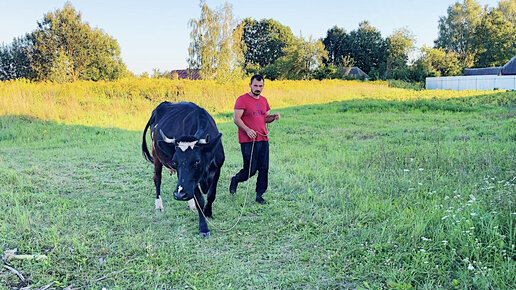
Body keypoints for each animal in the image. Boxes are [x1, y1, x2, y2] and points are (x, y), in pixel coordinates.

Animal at [141, 102, 224, 238]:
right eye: (175, 162)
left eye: (196, 161)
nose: (179, 194)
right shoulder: (193, 181)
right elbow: (200, 200)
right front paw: (204, 228)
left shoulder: (217, 168)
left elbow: (211, 194)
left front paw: (208, 212)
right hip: (156, 154)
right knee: (157, 179)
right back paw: (159, 205)